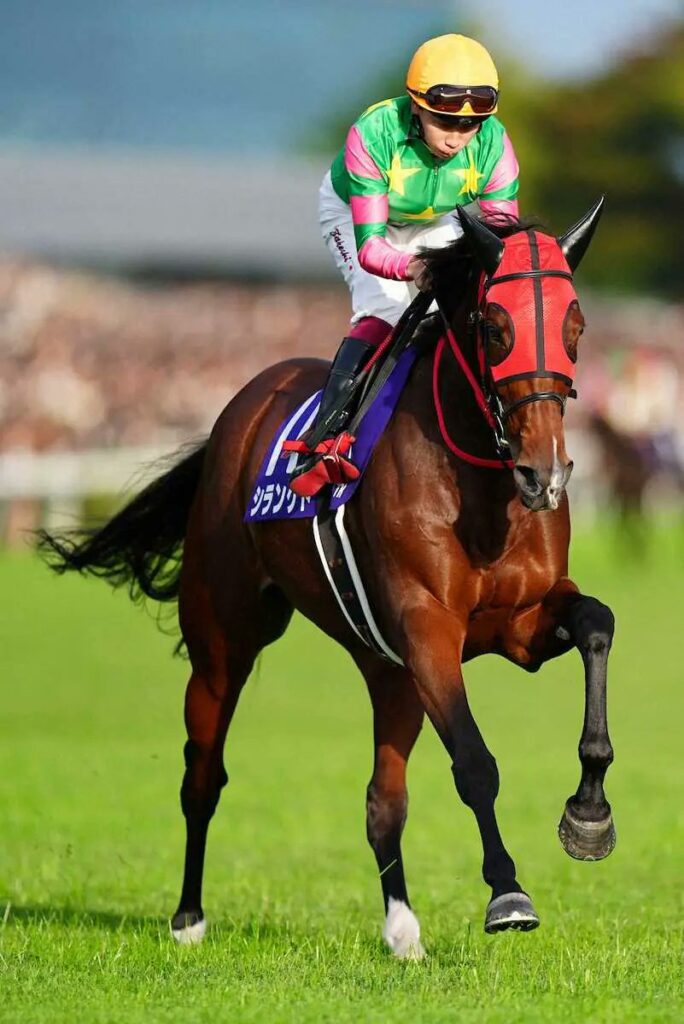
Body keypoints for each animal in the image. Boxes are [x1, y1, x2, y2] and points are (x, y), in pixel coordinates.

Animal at [39, 204, 616, 960]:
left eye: (577, 326)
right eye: (494, 326)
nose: (543, 474)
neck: (483, 484)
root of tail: (244, 405)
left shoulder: (520, 622)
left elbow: (597, 624)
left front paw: (589, 814)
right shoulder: (429, 627)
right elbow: (474, 761)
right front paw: (508, 894)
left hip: (389, 670)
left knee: (382, 801)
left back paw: (403, 931)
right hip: (224, 642)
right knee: (203, 774)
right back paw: (189, 918)